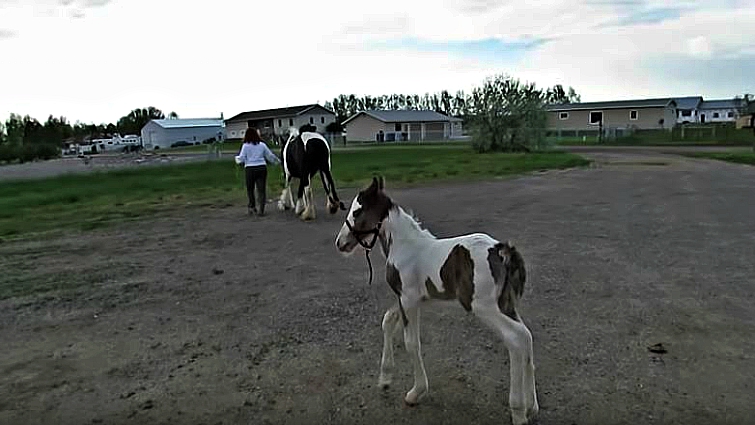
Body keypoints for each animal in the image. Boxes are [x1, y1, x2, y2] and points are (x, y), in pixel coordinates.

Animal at [334, 176, 538, 425]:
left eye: (357, 211)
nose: (340, 243)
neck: (405, 246)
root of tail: (501, 250)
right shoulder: (407, 298)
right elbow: (387, 321)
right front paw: (384, 378)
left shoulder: (409, 300)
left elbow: (411, 342)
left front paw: (416, 392)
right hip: (505, 303)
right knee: (526, 336)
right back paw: (532, 406)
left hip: (483, 307)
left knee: (515, 339)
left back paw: (518, 410)